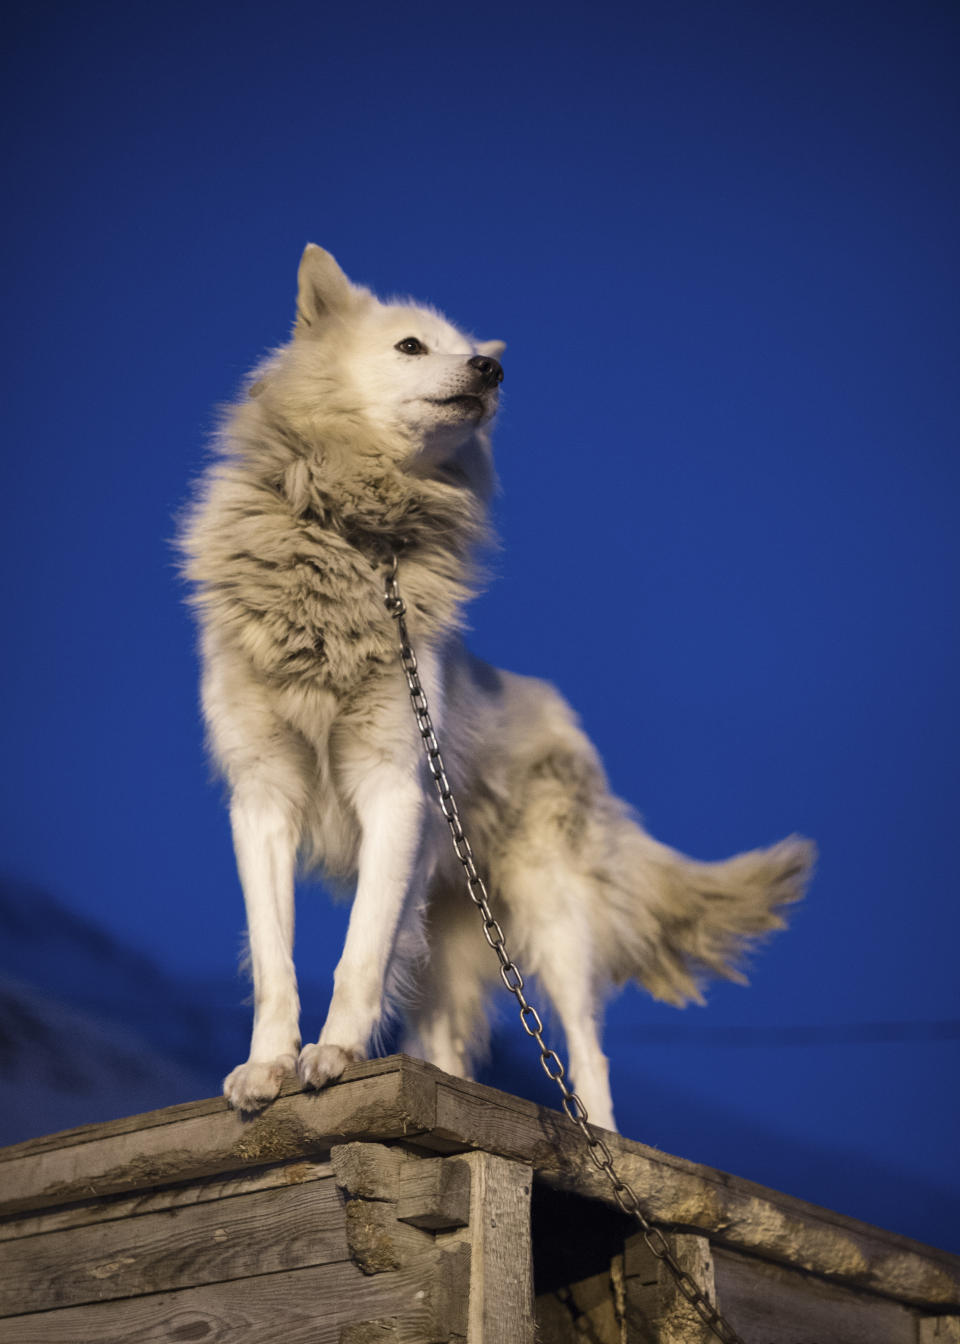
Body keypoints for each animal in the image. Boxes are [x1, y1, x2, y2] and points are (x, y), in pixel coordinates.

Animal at [177, 247, 806, 1128]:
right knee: (444, 1043)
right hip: (445, 928)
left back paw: (600, 1136)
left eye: (470, 349)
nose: (492, 368)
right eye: (411, 346)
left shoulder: (393, 789)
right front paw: (267, 1066)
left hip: (552, 922)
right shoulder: (261, 797)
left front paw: (335, 1056)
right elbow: (275, 961)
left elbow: (356, 953)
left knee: (587, 1051)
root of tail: (567, 718)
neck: (356, 539)